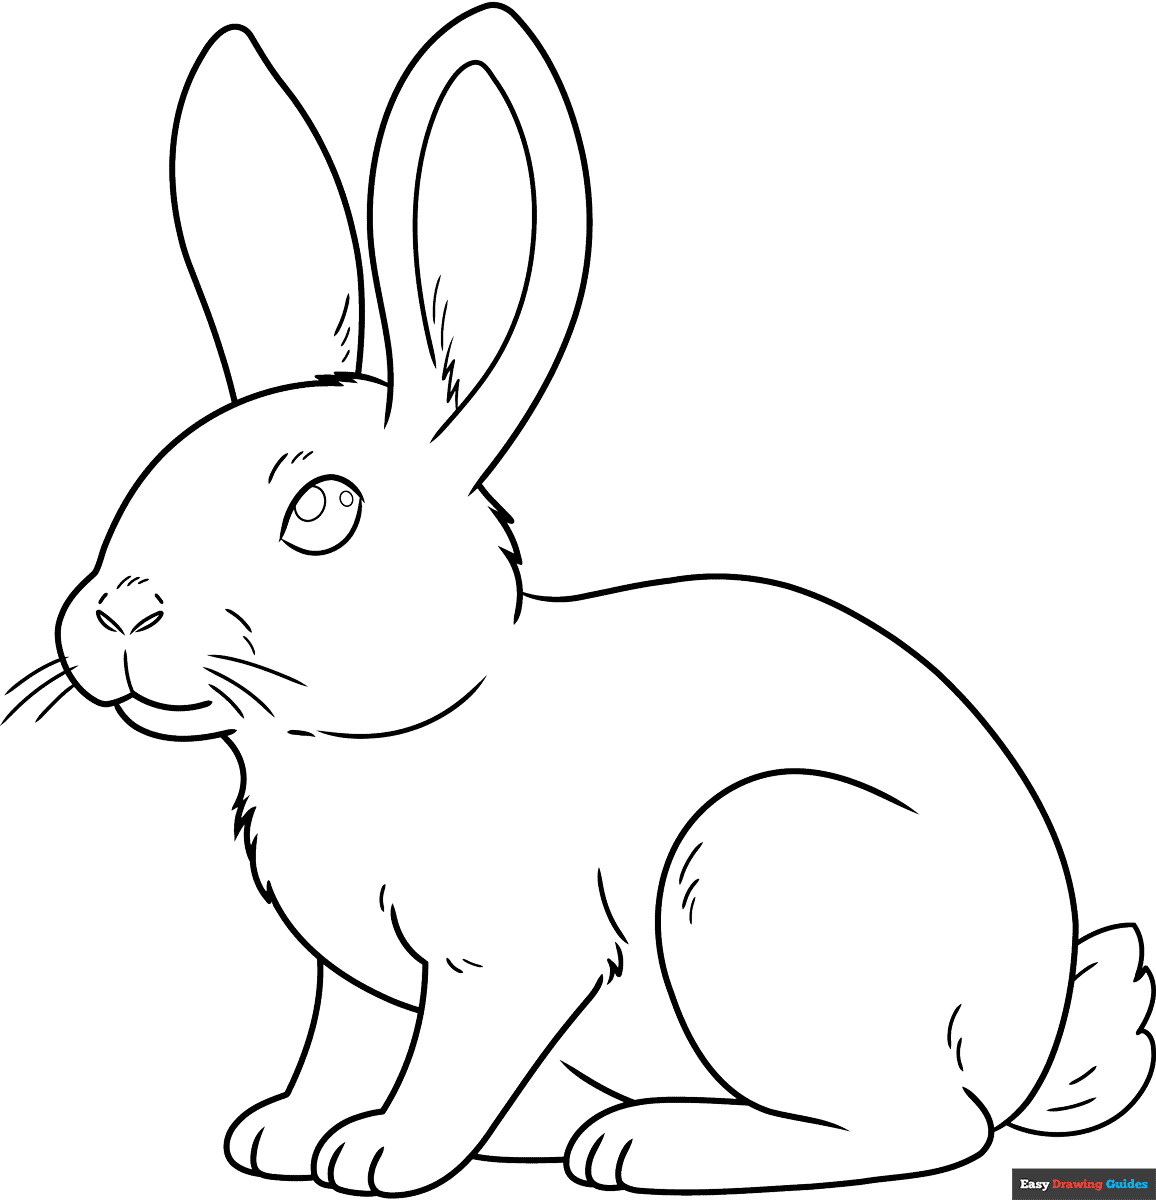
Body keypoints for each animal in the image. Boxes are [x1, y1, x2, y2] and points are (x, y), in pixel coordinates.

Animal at [9, 3, 1148, 1195]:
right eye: (152, 478)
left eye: (321, 509)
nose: (119, 612)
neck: (369, 741)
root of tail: (1026, 1046)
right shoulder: (354, 982)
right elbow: (339, 1045)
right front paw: (279, 1136)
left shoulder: (504, 959)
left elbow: (450, 1061)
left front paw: (378, 1154)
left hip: (750, 877)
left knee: (928, 1126)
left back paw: (645, 1142)